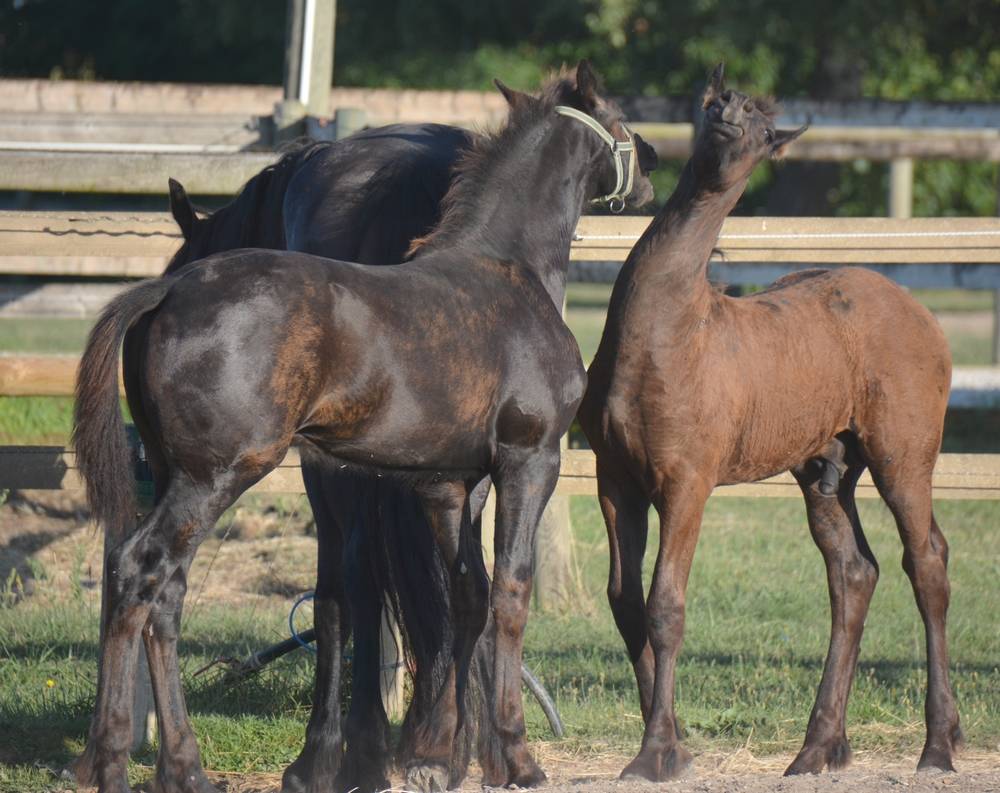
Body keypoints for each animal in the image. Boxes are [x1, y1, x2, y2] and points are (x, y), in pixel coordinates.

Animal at [72, 61, 655, 793]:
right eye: (616, 116)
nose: (652, 165)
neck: (506, 271)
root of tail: (167, 291)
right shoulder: (531, 460)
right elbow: (510, 593)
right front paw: (516, 758)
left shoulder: (446, 484)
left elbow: (464, 596)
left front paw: (443, 756)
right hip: (216, 474)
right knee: (142, 570)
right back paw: (133, 762)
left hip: (185, 474)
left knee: (158, 588)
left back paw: (166, 766)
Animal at [579, 64, 959, 782]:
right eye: (713, 102)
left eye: (761, 128)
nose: (727, 111)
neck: (669, 334)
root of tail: (921, 313)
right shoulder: (615, 481)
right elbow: (624, 602)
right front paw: (673, 743)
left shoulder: (687, 483)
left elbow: (666, 606)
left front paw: (656, 751)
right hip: (825, 472)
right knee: (854, 574)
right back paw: (817, 748)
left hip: (903, 456)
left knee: (925, 562)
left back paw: (938, 744)